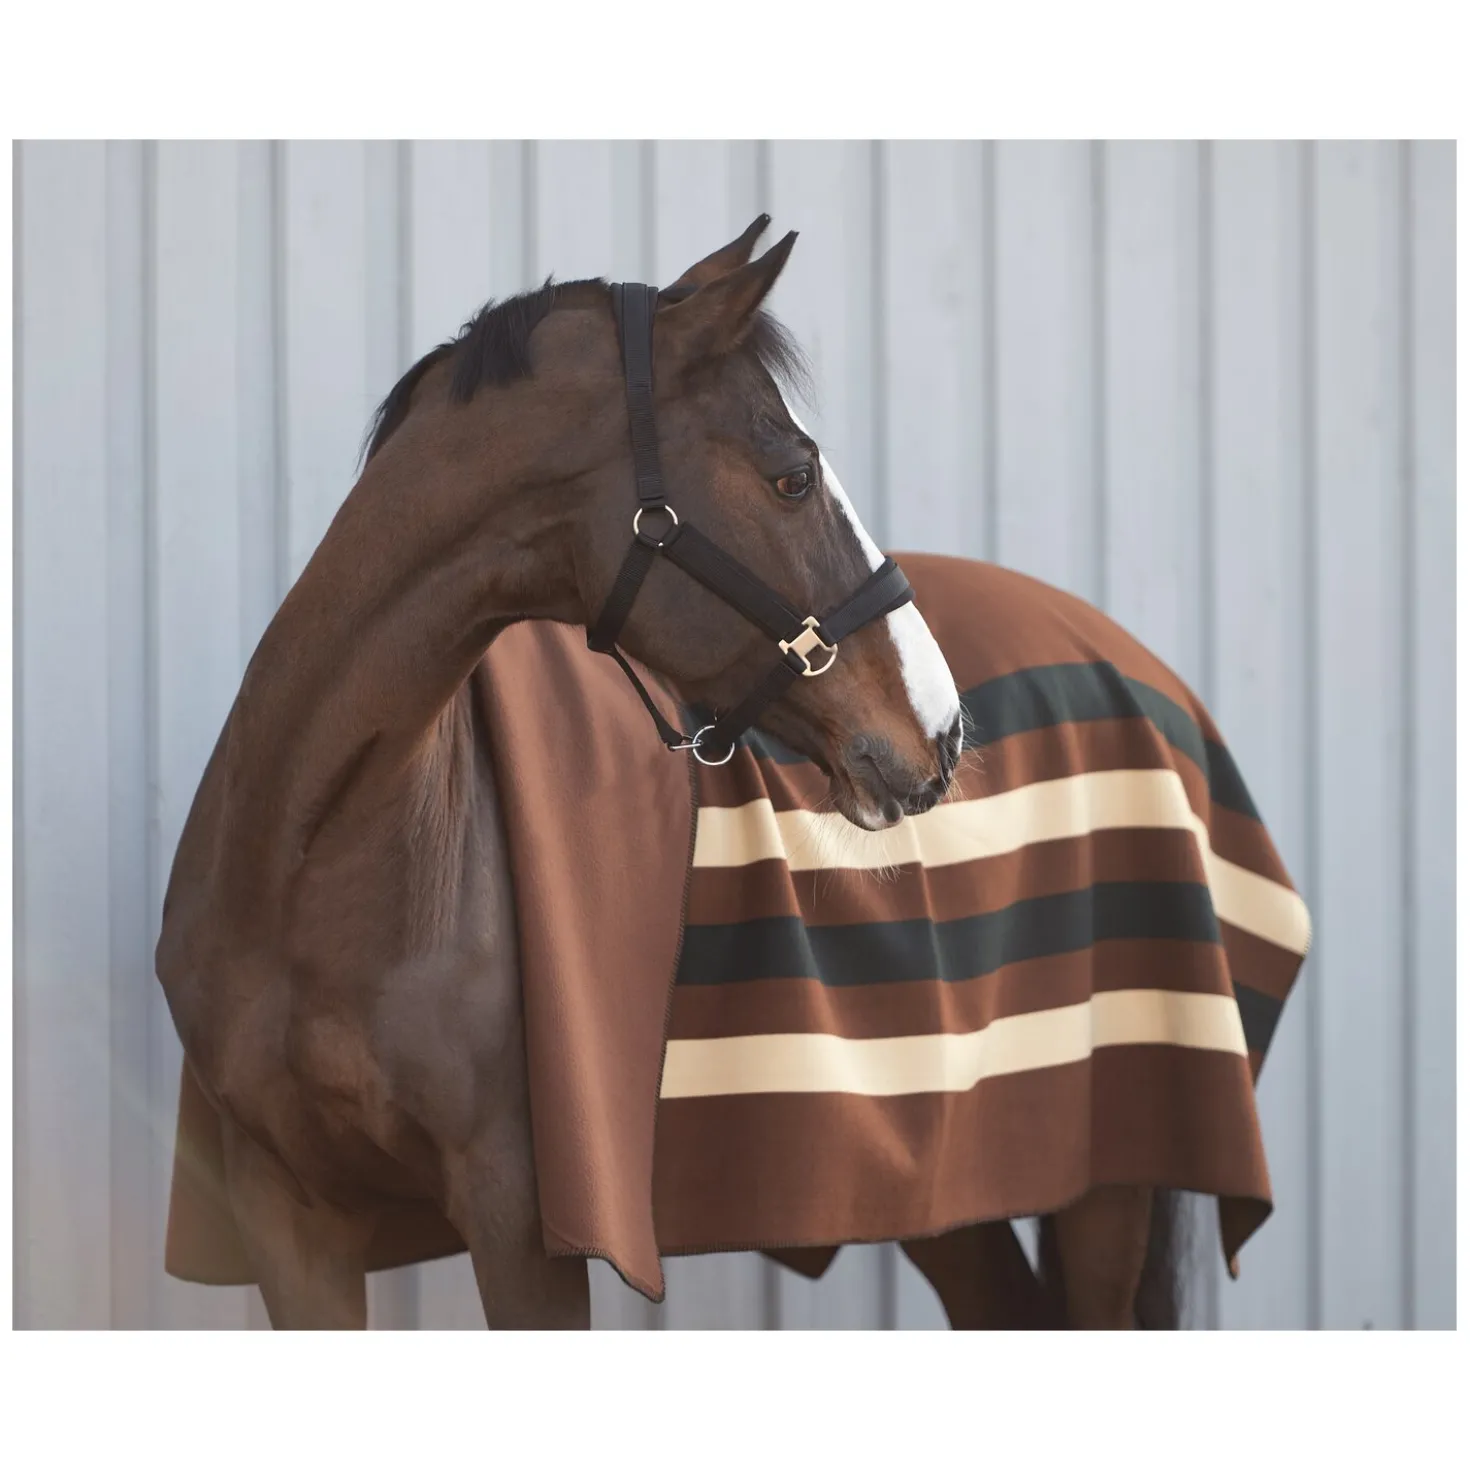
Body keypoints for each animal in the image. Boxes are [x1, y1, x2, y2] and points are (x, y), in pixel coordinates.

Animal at [156, 216, 1229, 1330]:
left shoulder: (522, 1217)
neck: (317, 859)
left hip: (1105, 1181)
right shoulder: (292, 1215)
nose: (942, 734)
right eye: (791, 475)